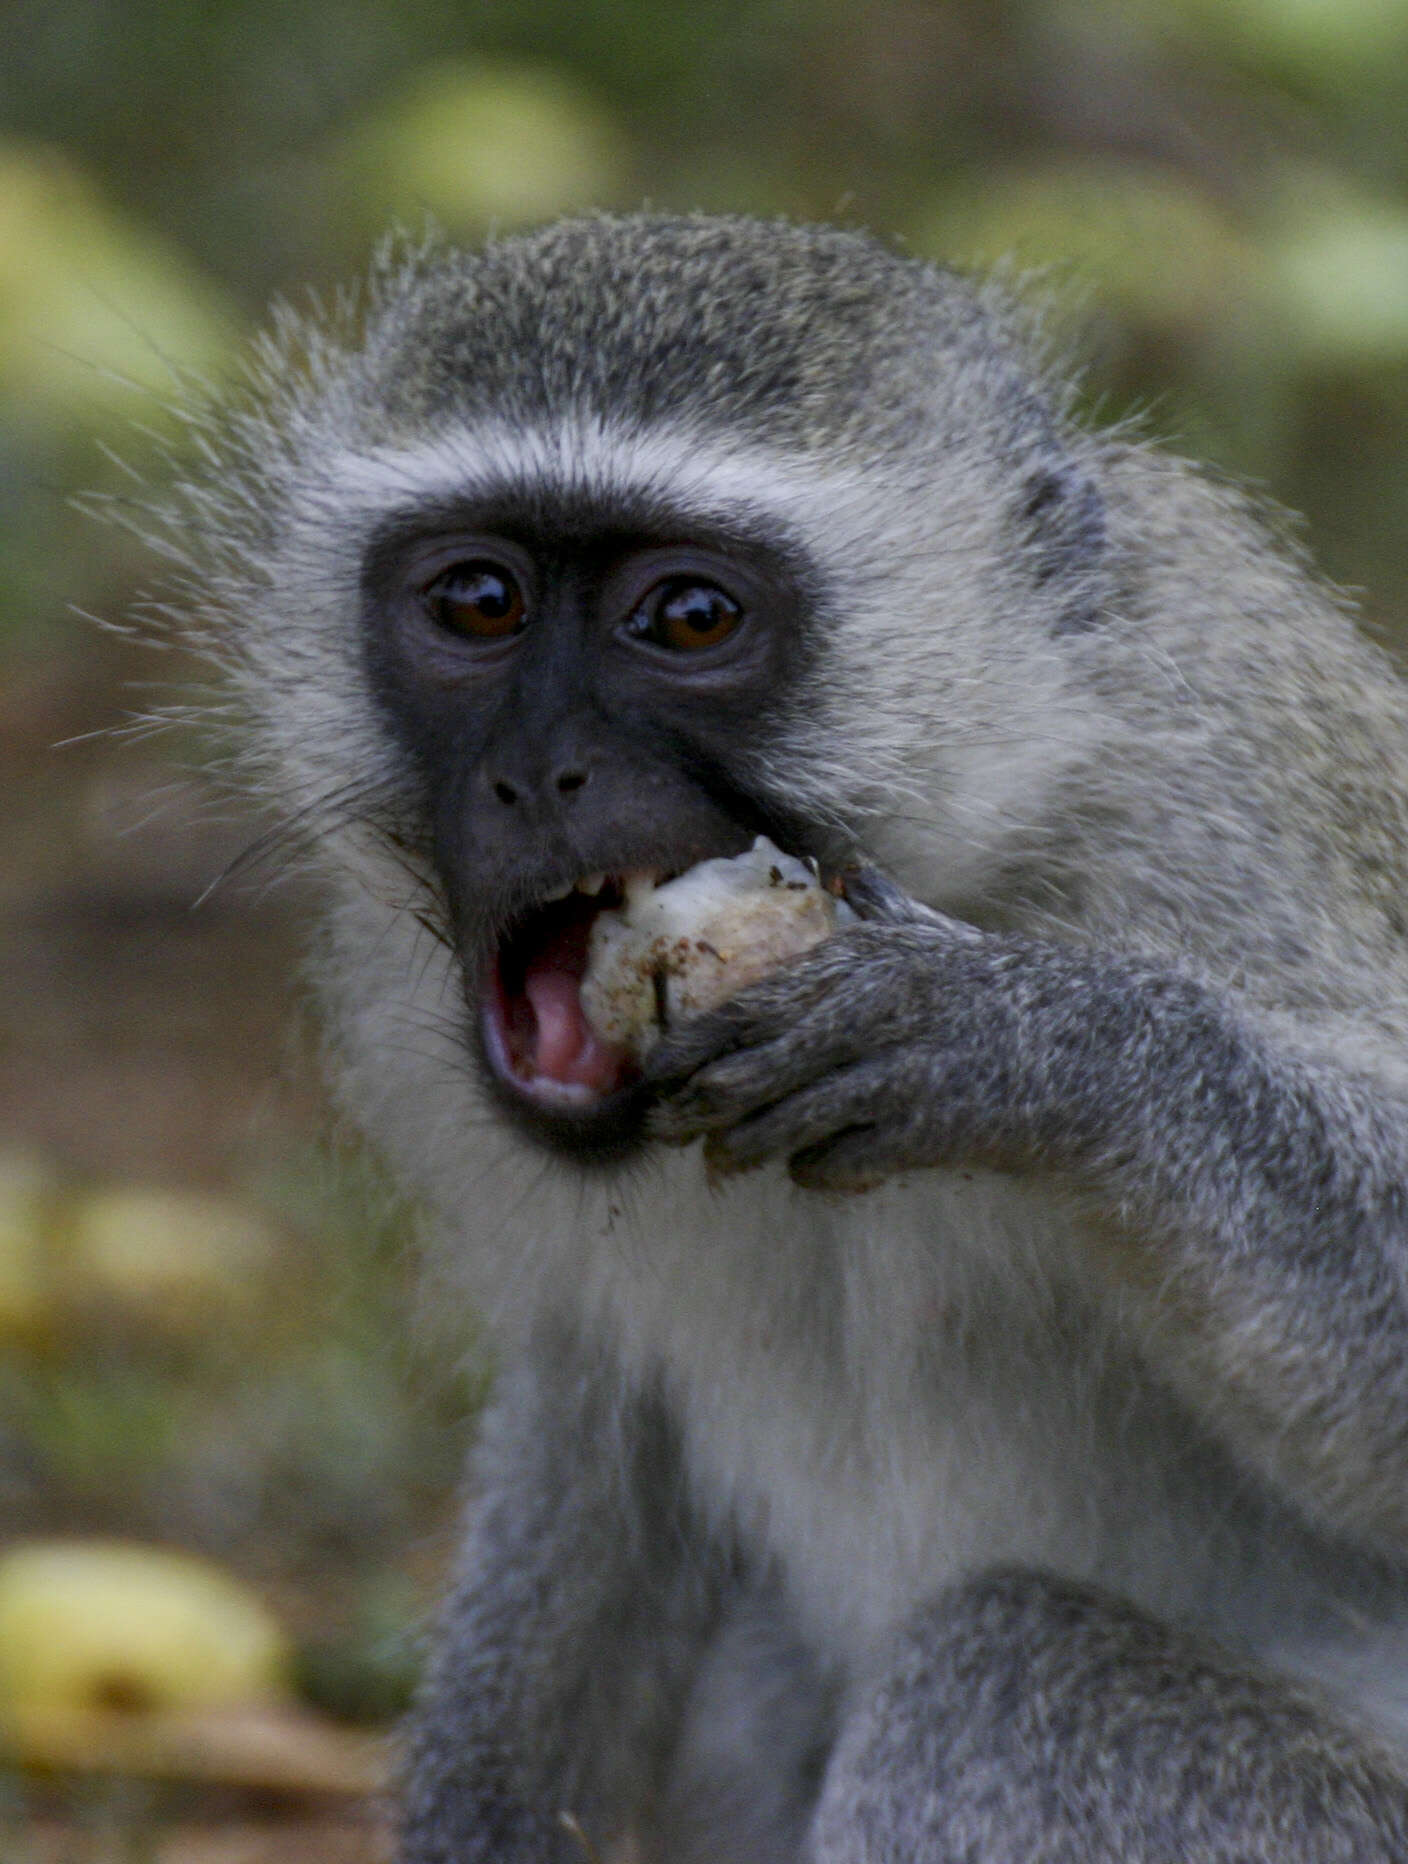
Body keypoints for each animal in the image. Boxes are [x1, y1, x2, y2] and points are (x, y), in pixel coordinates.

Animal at [159, 211, 1408, 1856]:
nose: (535, 776)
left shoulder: (1218, 829)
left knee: (1005, 1680)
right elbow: (596, 1417)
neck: (976, 827)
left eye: (690, 618)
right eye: (478, 602)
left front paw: (1043, 1046)